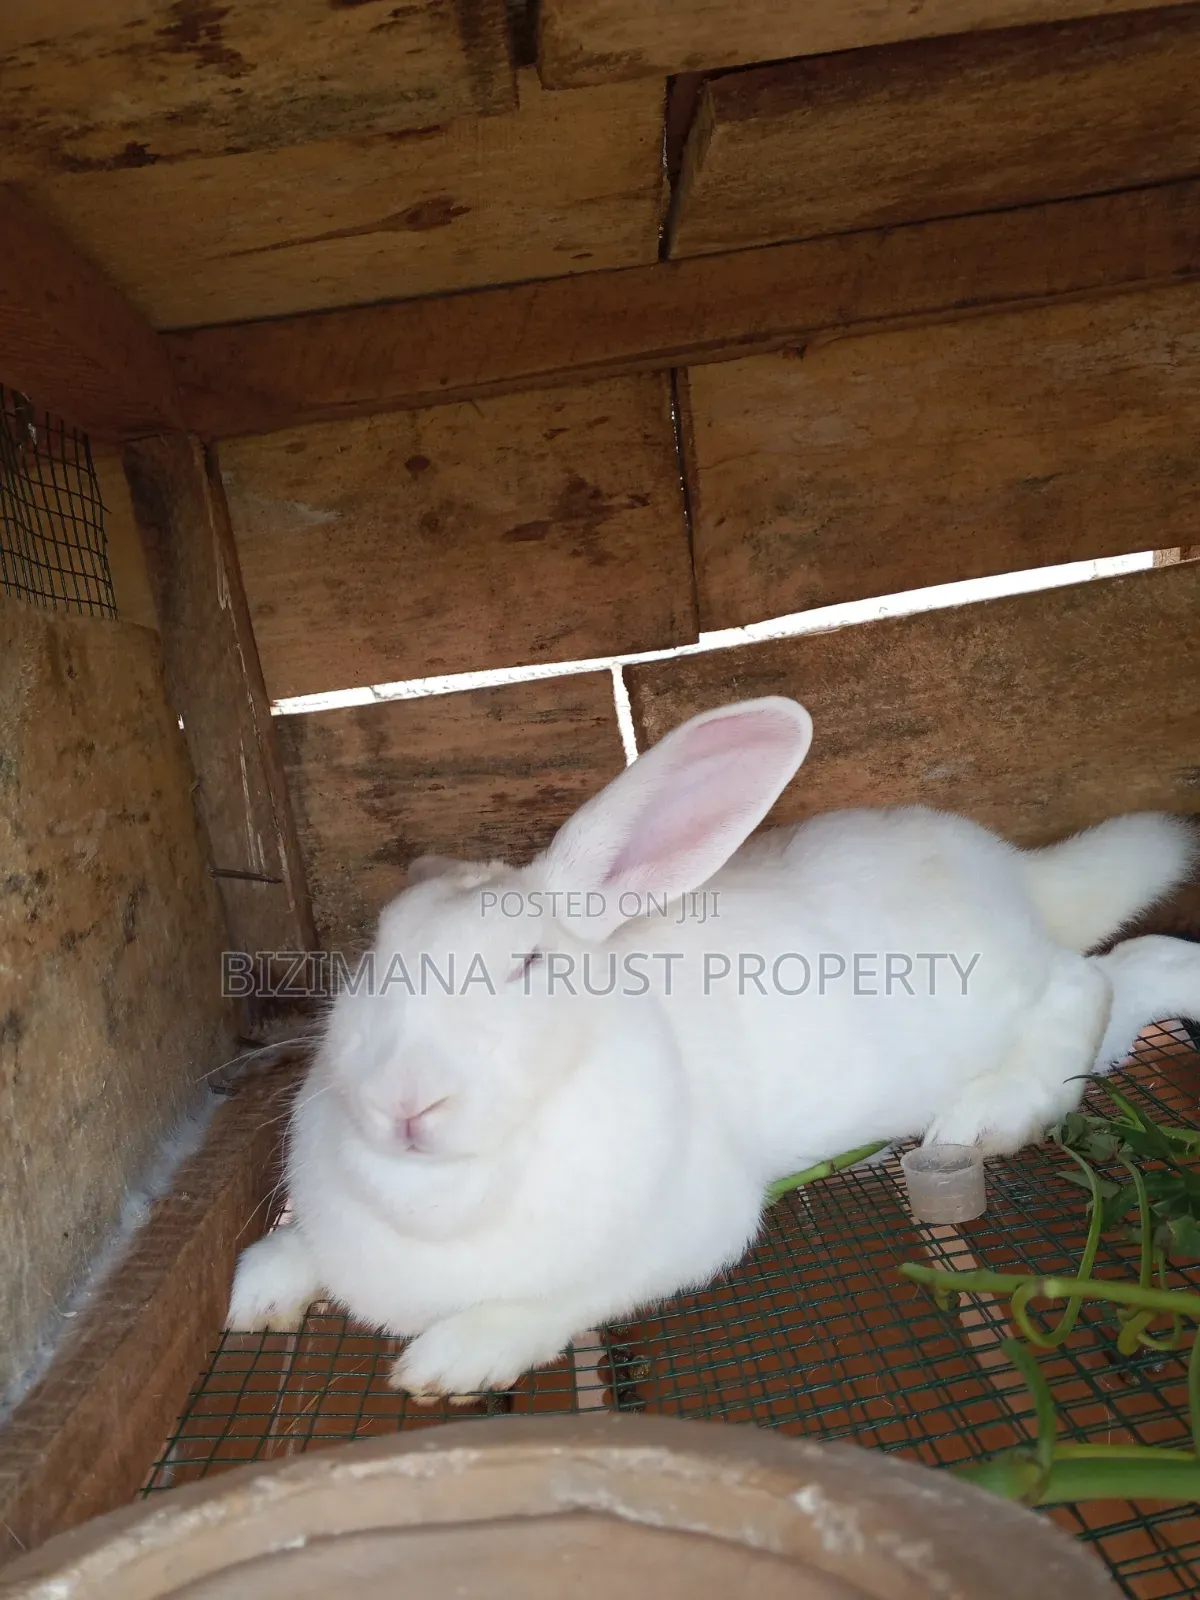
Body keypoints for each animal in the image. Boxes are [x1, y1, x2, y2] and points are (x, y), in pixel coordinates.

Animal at [227, 695, 1198, 1399]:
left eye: (528, 963)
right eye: (374, 956)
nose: (401, 1103)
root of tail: (1016, 871)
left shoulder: (682, 1240)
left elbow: (563, 1297)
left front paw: (452, 1357)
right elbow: (303, 1251)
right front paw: (259, 1288)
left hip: (994, 998)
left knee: (1085, 984)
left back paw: (991, 1114)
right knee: (1139, 969)